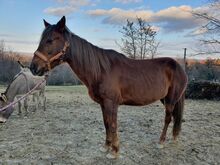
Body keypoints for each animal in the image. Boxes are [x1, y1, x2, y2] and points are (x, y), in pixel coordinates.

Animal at [29, 16, 187, 159]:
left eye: (50, 40)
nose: (33, 67)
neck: (101, 70)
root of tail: (179, 66)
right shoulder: (103, 104)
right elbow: (106, 124)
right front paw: (106, 146)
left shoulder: (112, 103)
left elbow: (112, 124)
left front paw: (115, 151)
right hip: (164, 98)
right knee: (174, 117)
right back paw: (174, 137)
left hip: (171, 99)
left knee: (168, 118)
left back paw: (161, 142)